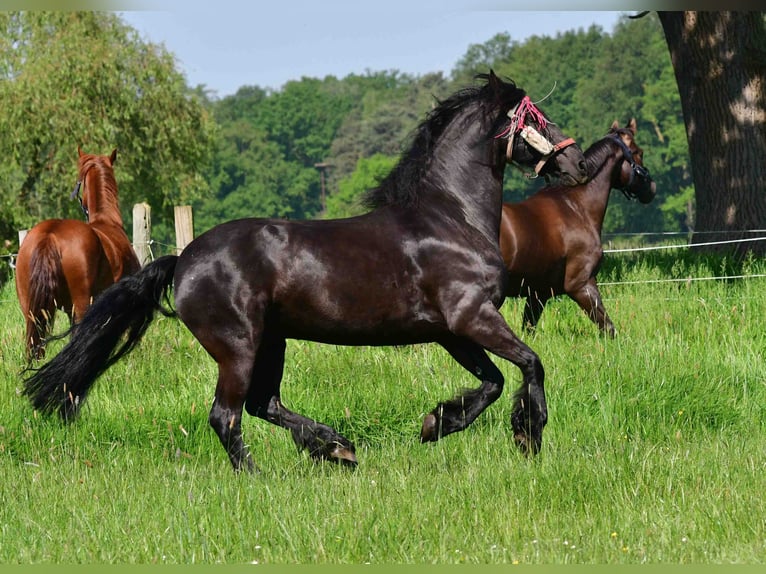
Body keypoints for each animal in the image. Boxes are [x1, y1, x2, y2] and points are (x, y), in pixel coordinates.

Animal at [499, 119, 656, 338]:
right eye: (637, 152)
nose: (651, 189)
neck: (575, 206)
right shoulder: (581, 285)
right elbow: (608, 328)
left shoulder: (539, 292)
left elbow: (528, 329)